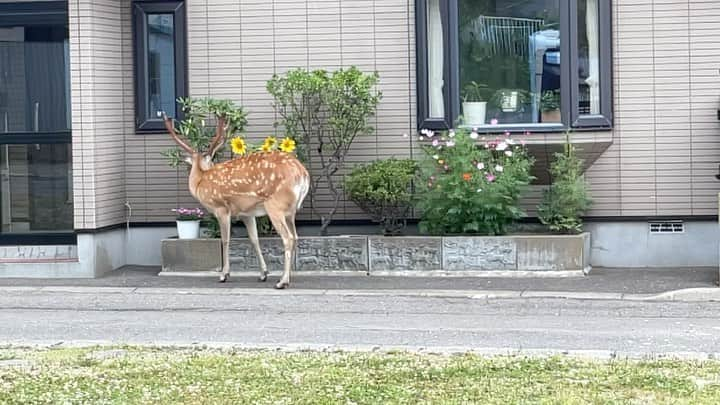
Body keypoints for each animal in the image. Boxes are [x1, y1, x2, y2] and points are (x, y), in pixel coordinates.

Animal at [163, 111, 310, 288]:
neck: (200, 182)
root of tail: (302, 174)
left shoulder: (221, 208)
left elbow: (225, 240)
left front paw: (224, 275)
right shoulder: (246, 213)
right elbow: (254, 239)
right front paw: (263, 273)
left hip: (275, 205)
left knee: (287, 238)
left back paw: (282, 281)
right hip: (290, 211)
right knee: (295, 236)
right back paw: (289, 276)